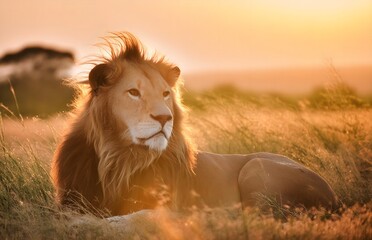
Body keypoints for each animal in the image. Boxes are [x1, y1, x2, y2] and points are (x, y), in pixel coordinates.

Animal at [50, 31, 338, 216]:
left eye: (165, 93)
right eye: (133, 92)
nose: (165, 118)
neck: (120, 160)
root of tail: (334, 196)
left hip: (256, 168)